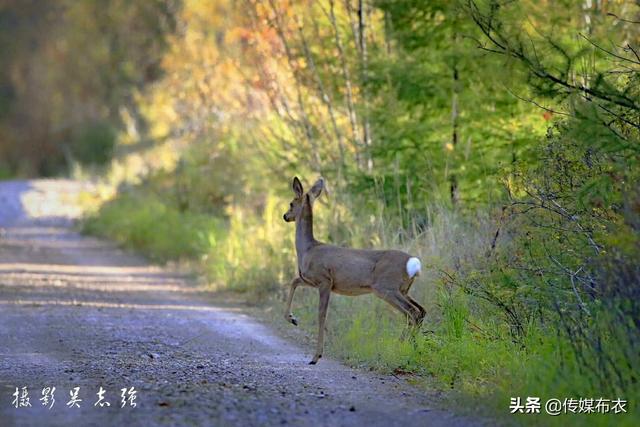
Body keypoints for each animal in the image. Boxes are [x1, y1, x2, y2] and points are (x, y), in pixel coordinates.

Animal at [282, 177, 424, 364]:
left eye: (291, 203)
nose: (285, 216)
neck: (308, 249)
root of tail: (413, 262)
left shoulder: (325, 280)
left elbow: (321, 315)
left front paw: (316, 356)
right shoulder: (309, 279)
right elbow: (293, 281)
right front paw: (292, 319)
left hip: (386, 288)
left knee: (412, 313)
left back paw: (401, 348)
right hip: (403, 289)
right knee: (421, 311)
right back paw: (411, 348)